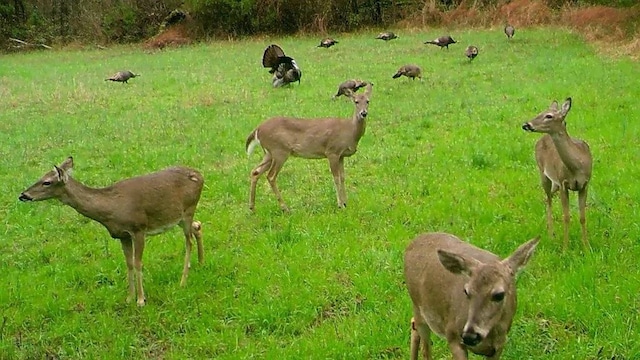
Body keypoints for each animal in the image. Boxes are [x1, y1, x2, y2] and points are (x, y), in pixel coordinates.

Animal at [18, 158, 205, 306]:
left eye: (47, 182)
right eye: (41, 177)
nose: (23, 195)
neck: (111, 209)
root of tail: (201, 175)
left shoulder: (139, 228)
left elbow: (138, 263)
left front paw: (141, 300)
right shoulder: (123, 235)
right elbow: (129, 263)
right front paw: (129, 298)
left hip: (188, 210)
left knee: (189, 241)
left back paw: (183, 281)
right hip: (179, 217)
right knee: (197, 226)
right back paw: (200, 263)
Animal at [246, 82, 376, 212]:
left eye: (368, 101)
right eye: (356, 101)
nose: (363, 113)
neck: (349, 131)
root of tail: (258, 129)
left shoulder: (341, 155)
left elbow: (343, 177)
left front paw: (345, 203)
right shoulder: (332, 151)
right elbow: (336, 178)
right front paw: (340, 205)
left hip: (269, 153)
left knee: (255, 172)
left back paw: (252, 207)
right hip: (279, 151)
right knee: (271, 176)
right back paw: (285, 208)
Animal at [404, 232, 540, 358]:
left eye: (499, 295)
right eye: (466, 291)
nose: (470, 336)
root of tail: (413, 242)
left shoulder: (499, 345)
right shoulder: (452, 335)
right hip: (418, 305)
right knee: (425, 347)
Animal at [524, 97, 592, 252]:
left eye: (549, 116)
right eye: (540, 112)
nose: (527, 124)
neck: (577, 166)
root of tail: (542, 138)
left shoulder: (585, 184)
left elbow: (582, 217)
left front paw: (586, 247)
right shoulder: (563, 183)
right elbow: (566, 216)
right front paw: (565, 249)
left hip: (554, 183)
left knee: (547, 198)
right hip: (543, 174)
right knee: (548, 200)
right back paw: (551, 234)